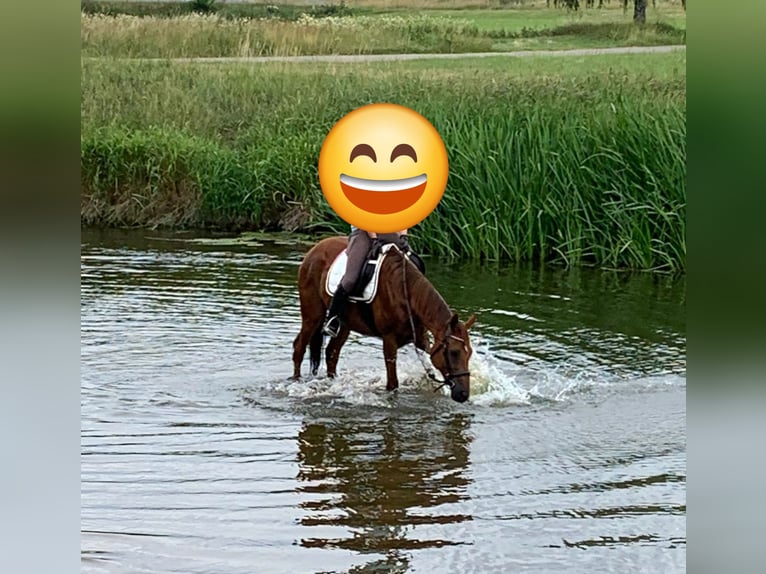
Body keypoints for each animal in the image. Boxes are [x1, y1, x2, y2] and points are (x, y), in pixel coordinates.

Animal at [292, 236, 476, 402]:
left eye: (469, 353)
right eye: (454, 352)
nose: (463, 394)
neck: (406, 293)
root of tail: (316, 247)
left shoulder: (421, 338)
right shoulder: (389, 340)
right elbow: (393, 384)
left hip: (344, 324)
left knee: (331, 353)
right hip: (313, 316)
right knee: (299, 347)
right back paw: (296, 380)